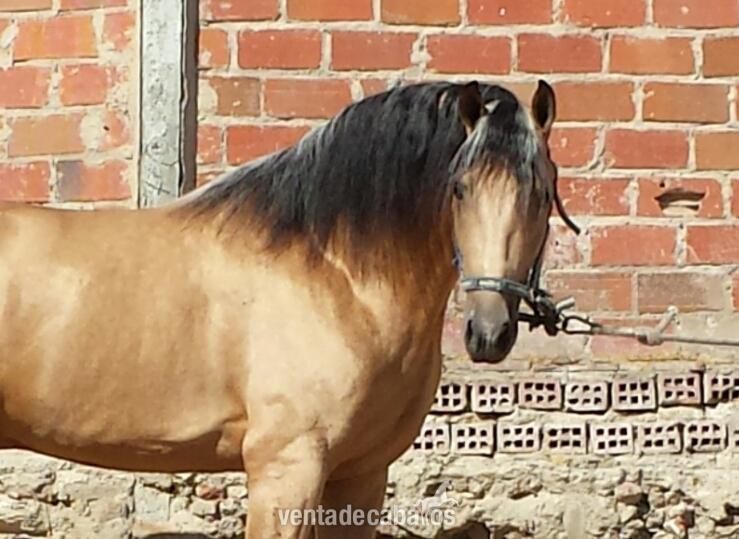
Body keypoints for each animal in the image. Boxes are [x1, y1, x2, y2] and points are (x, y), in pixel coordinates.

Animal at [0, 78, 574, 539]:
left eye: (542, 192)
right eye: (458, 189)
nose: (488, 331)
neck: (336, 275)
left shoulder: (360, 475)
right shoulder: (287, 467)